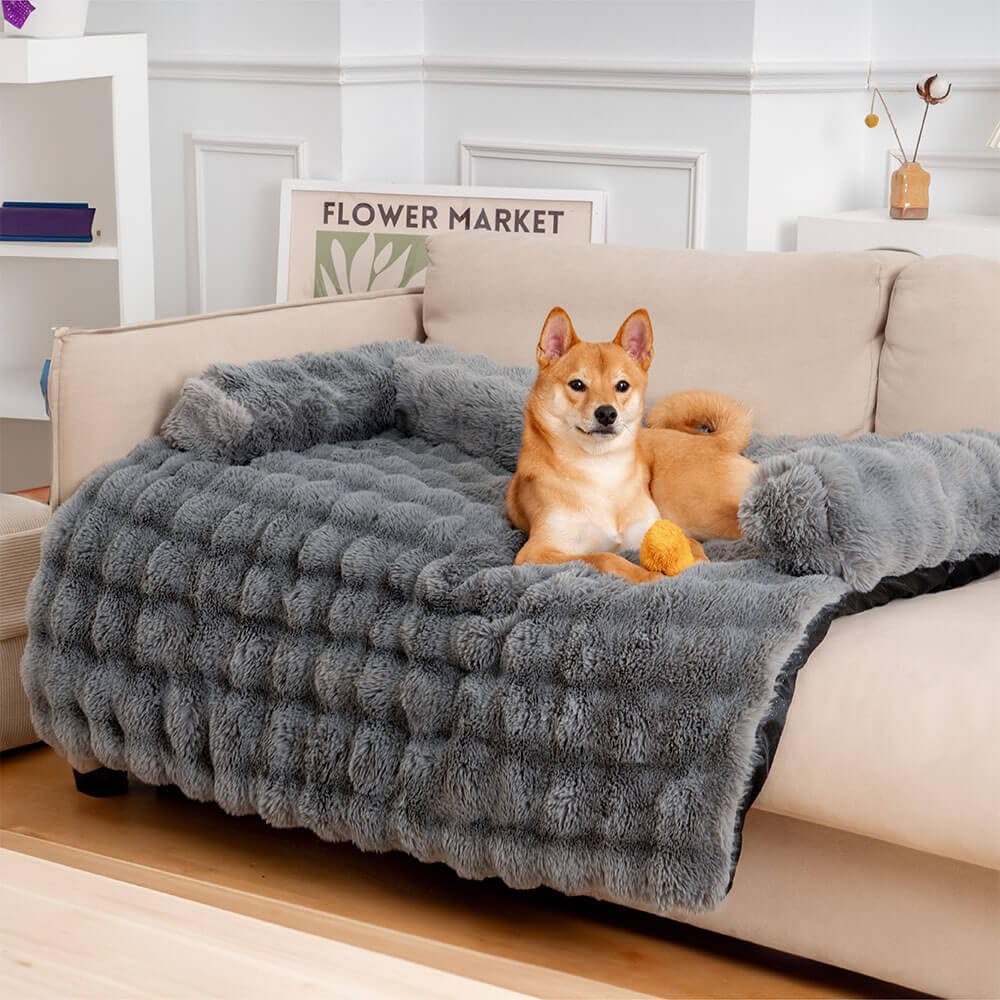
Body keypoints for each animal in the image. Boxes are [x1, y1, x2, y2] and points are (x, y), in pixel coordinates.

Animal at [504, 308, 752, 584]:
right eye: (577, 384)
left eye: (622, 385)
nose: (606, 413)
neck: (600, 469)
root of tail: (714, 440)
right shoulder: (536, 553)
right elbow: (604, 557)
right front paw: (648, 576)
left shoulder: (649, 527)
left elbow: (691, 544)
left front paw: (694, 563)